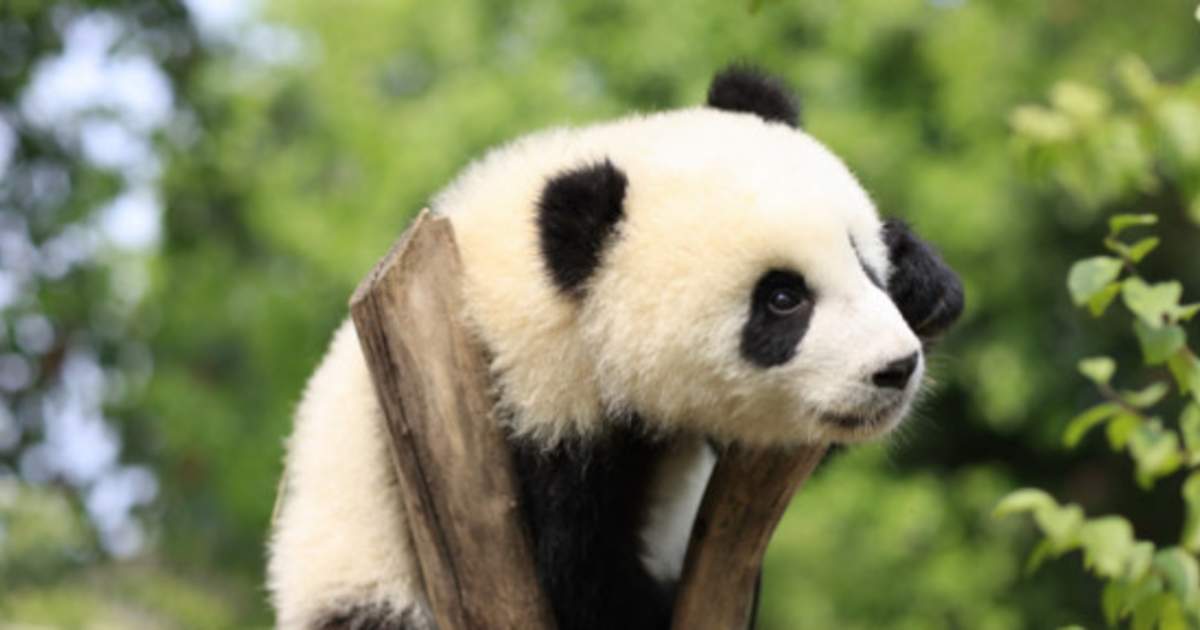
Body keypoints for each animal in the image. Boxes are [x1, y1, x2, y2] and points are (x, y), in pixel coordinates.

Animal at [267, 66, 964, 630]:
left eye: (860, 257)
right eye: (782, 298)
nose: (894, 369)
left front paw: (925, 281)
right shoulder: (519, 407)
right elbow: (577, 576)